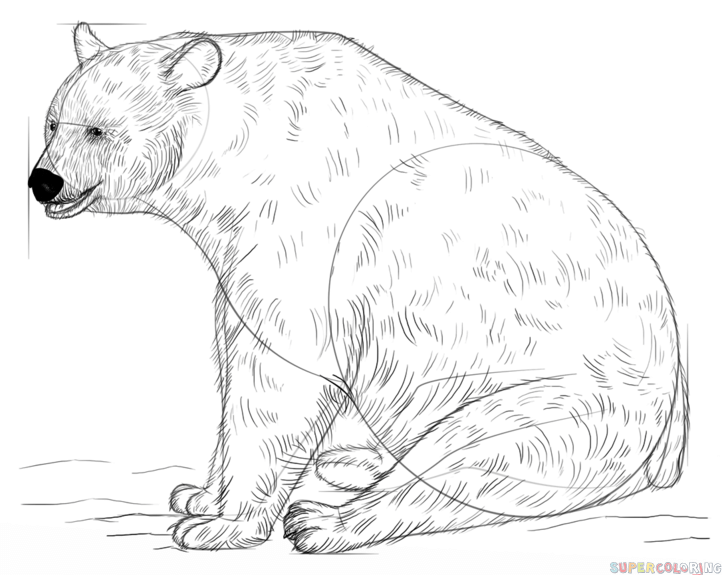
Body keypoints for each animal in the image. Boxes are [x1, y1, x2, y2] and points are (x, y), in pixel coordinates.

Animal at [28, 23, 688, 553]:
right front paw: (199, 494)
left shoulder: (309, 242)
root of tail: (674, 441)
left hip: (568, 397)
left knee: (475, 454)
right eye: (53, 123)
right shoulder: (242, 255)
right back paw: (354, 461)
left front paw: (223, 525)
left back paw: (326, 521)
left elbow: (279, 383)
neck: (250, 153)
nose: (43, 181)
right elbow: (235, 356)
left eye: (99, 130)